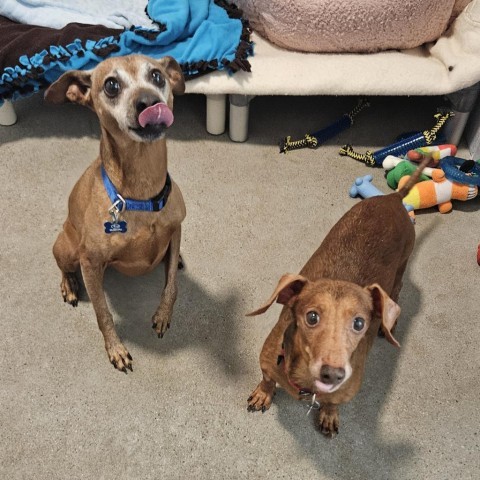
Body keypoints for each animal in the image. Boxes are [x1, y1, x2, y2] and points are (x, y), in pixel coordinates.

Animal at [45, 54, 186, 374]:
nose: (149, 102)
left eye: (157, 76)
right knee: (62, 266)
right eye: (111, 85)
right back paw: (68, 285)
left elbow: (171, 283)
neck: (142, 194)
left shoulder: (177, 229)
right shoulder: (89, 262)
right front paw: (116, 349)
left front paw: (163, 314)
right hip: (67, 249)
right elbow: (103, 313)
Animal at [246, 160, 430, 436]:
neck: (305, 385)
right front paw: (262, 394)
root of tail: (394, 198)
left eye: (359, 323)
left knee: (397, 292)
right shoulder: (267, 362)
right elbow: (267, 380)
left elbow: (333, 403)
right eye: (311, 317)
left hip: (401, 268)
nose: (332, 374)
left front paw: (329, 414)